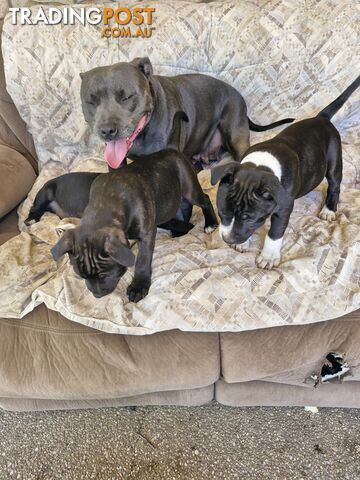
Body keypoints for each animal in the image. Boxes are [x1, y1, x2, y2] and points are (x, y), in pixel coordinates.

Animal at [51, 148, 218, 302]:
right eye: (81, 275)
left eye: (104, 275)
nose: (97, 295)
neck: (104, 205)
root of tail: (175, 151)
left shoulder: (146, 234)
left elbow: (142, 260)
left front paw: (139, 286)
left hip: (190, 189)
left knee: (205, 199)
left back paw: (211, 223)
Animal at [211, 75, 360, 270]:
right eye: (221, 213)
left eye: (250, 218)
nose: (228, 240)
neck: (261, 165)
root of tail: (321, 118)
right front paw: (243, 243)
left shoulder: (284, 208)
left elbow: (275, 232)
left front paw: (268, 256)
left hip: (334, 158)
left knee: (334, 185)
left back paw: (328, 210)